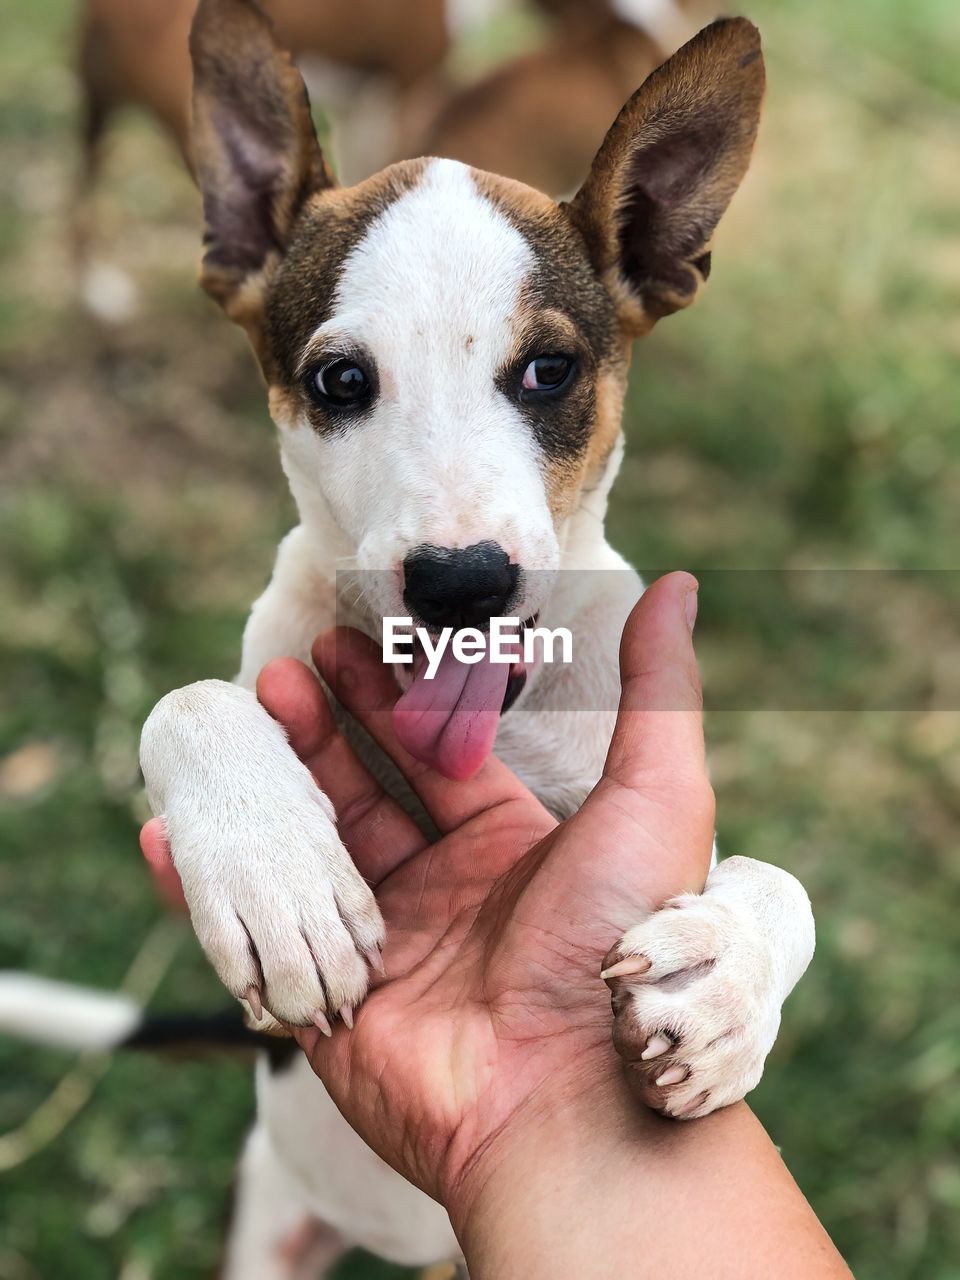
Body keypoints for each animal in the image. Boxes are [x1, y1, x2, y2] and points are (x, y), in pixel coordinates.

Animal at [7, 5, 819, 1274]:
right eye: (341, 380)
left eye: (551, 370)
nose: (462, 582)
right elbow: (189, 699)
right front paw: (278, 874)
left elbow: (783, 879)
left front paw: (725, 973)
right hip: (272, 1211)